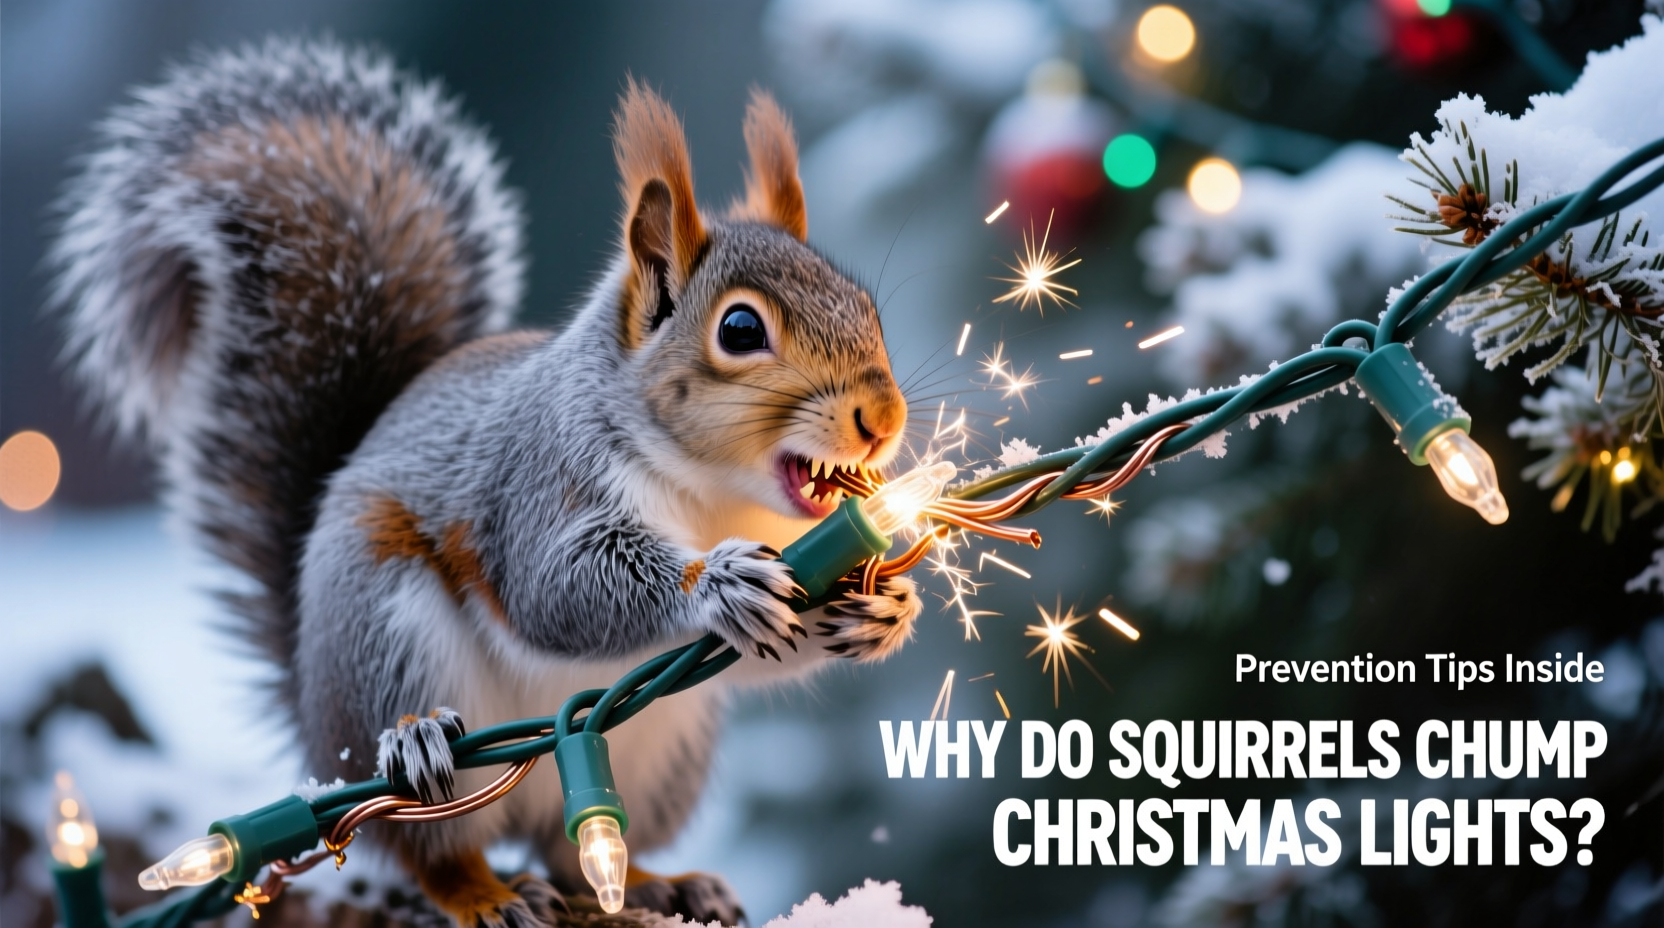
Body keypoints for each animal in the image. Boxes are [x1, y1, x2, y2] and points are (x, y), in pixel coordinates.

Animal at [50, 38, 926, 927]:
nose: (884, 417)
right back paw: (455, 829)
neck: (715, 493)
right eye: (741, 329)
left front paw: (883, 609)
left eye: (866, 307)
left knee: (578, 856)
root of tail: (315, 721)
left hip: (666, 746)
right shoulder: (539, 482)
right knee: (434, 848)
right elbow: (554, 589)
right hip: (386, 628)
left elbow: (757, 656)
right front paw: (716, 580)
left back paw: (661, 881)